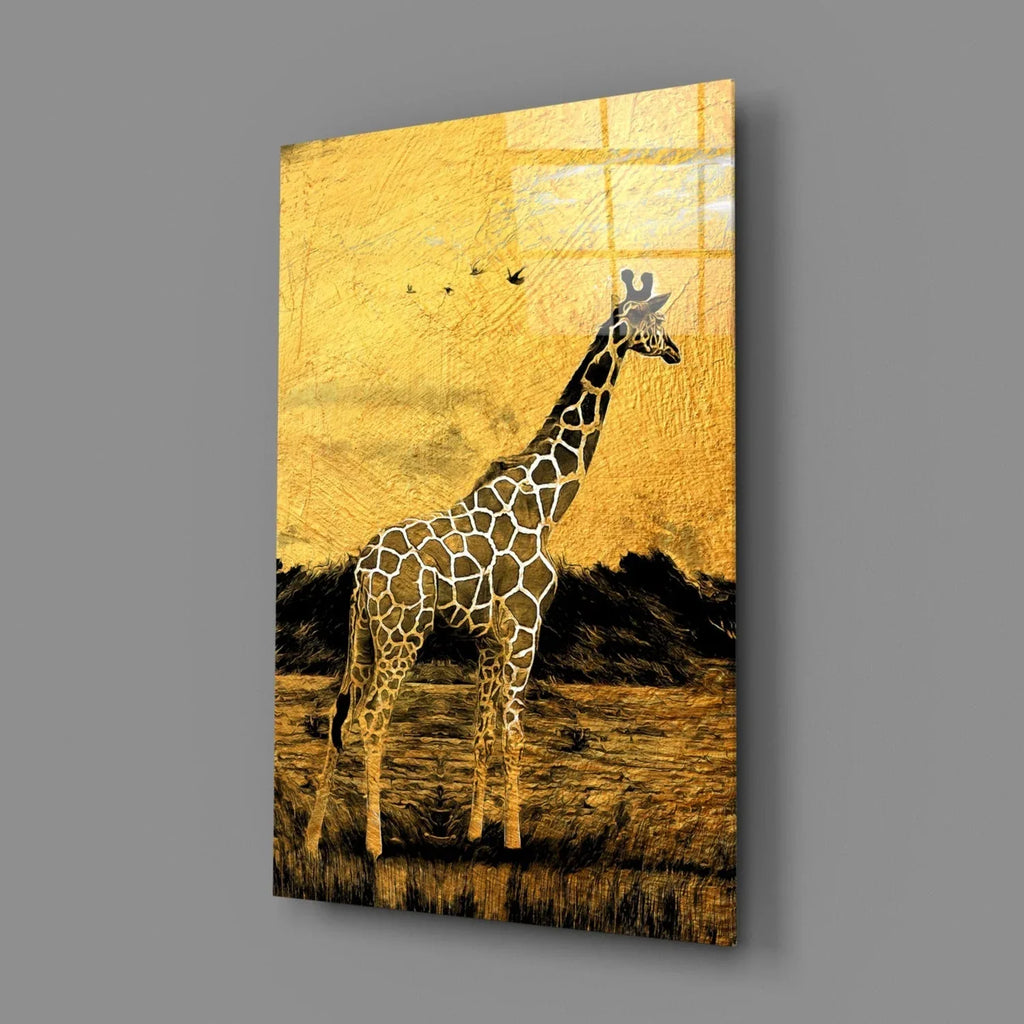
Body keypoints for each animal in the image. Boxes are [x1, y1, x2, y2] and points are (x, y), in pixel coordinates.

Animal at [304, 268, 680, 858]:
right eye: (657, 319)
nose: (676, 351)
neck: (547, 501)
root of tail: (362, 573)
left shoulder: (489, 639)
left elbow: (481, 734)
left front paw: (477, 832)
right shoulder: (526, 626)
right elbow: (514, 732)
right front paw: (514, 841)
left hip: (360, 636)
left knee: (338, 717)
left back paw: (313, 839)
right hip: (402, 636)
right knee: (371, 719)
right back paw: (374, 843)